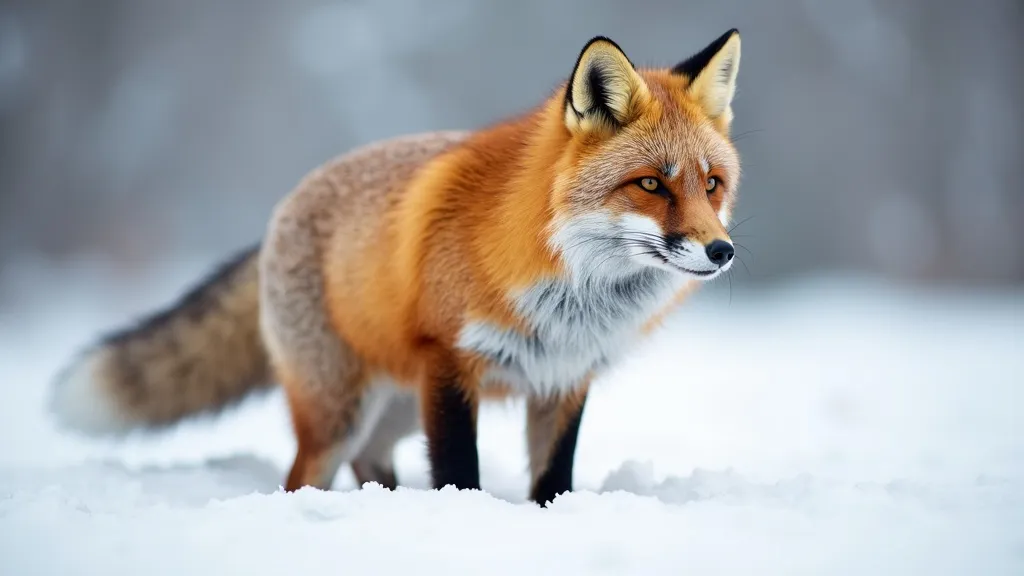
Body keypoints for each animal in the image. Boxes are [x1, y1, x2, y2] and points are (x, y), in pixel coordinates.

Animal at [50, 30, 744, 506]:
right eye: (651, 184)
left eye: (711, 184)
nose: (722, 251)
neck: (570, 291)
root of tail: (281, 210)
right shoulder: (450, 362)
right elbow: (459, 474)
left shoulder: (564, 378)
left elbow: (553, 480)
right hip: (341, 413)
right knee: (305, 476)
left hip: (397, 408)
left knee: (372, 464)